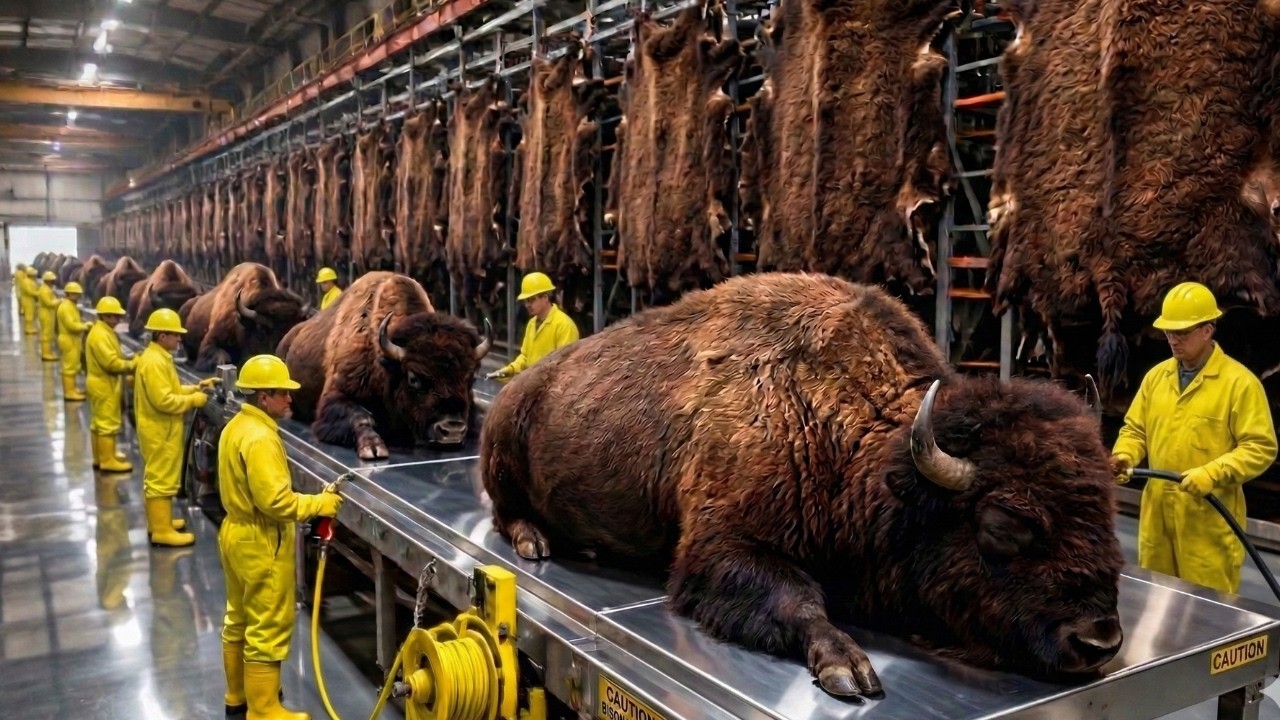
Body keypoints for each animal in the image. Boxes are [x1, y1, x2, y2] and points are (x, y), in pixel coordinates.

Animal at [278, 271, 491, 460]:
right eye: (413, 378)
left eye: (471, 378)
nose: (453, 430)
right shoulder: (336, 397)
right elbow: (361, 416)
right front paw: (373, 448)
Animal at [480, 272, 1123, 699]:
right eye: (1003, 524)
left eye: (1107, 516)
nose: (1100, 641)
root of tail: (519, 388)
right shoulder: (719, 547)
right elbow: (797, 597)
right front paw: (848, 669)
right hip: (502, 459)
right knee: (504, 512)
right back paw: (536, 542)